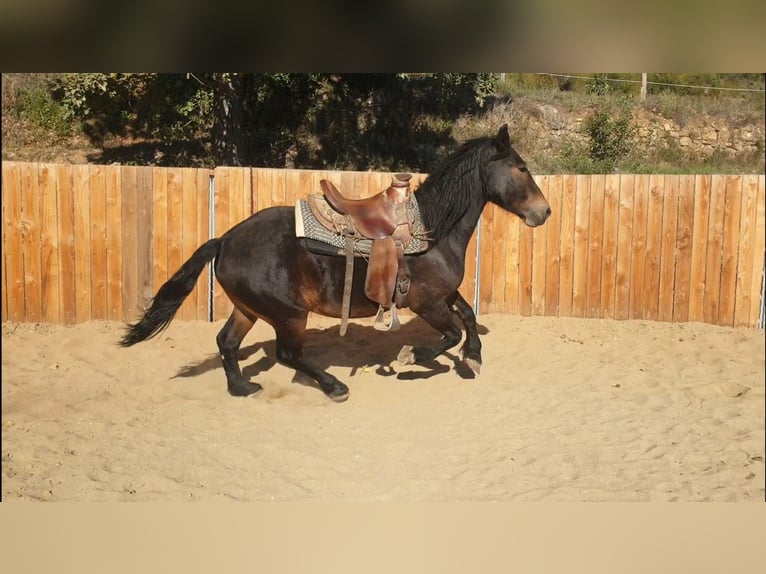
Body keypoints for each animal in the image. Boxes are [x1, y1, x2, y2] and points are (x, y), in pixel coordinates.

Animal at [120, 124, 551, 402]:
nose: (544, 212)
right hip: (289, 314)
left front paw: (473, 358)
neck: (432, 228)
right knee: (287, 355)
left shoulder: (443, 294)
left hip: (249, 309)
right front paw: (411, 357)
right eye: (521, 168)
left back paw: (241, 388)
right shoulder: (425, 302)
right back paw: (334, 387)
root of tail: (224, 240)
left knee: (226, 343)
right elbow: (451, 333)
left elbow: (468, 316)